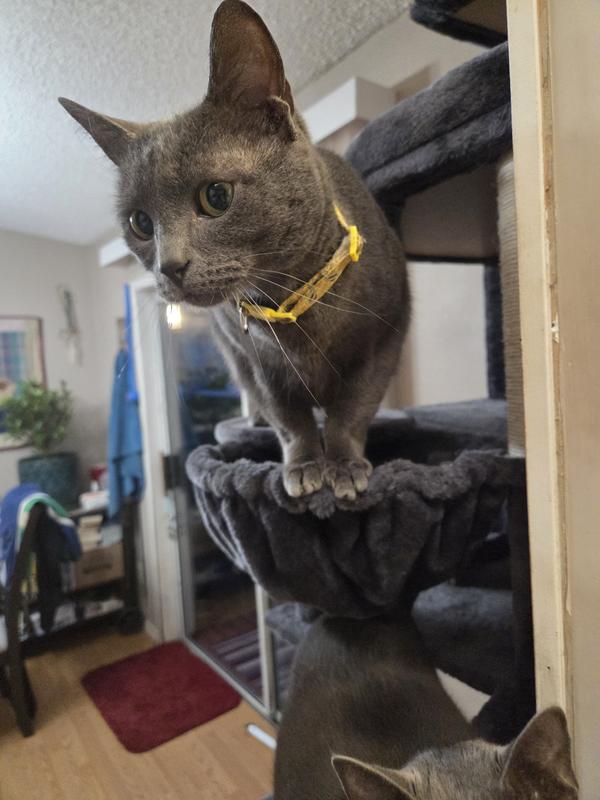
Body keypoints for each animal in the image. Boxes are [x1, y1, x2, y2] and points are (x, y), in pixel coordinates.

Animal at [59, 0, 410, 500]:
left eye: (216, 196)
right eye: (140, 223)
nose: (169, 266)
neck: (293, 308)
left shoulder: (383, 339)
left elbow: (352, 410)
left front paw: (342, 464)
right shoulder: (258, 365)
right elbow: (290, 420)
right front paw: (306, 465)